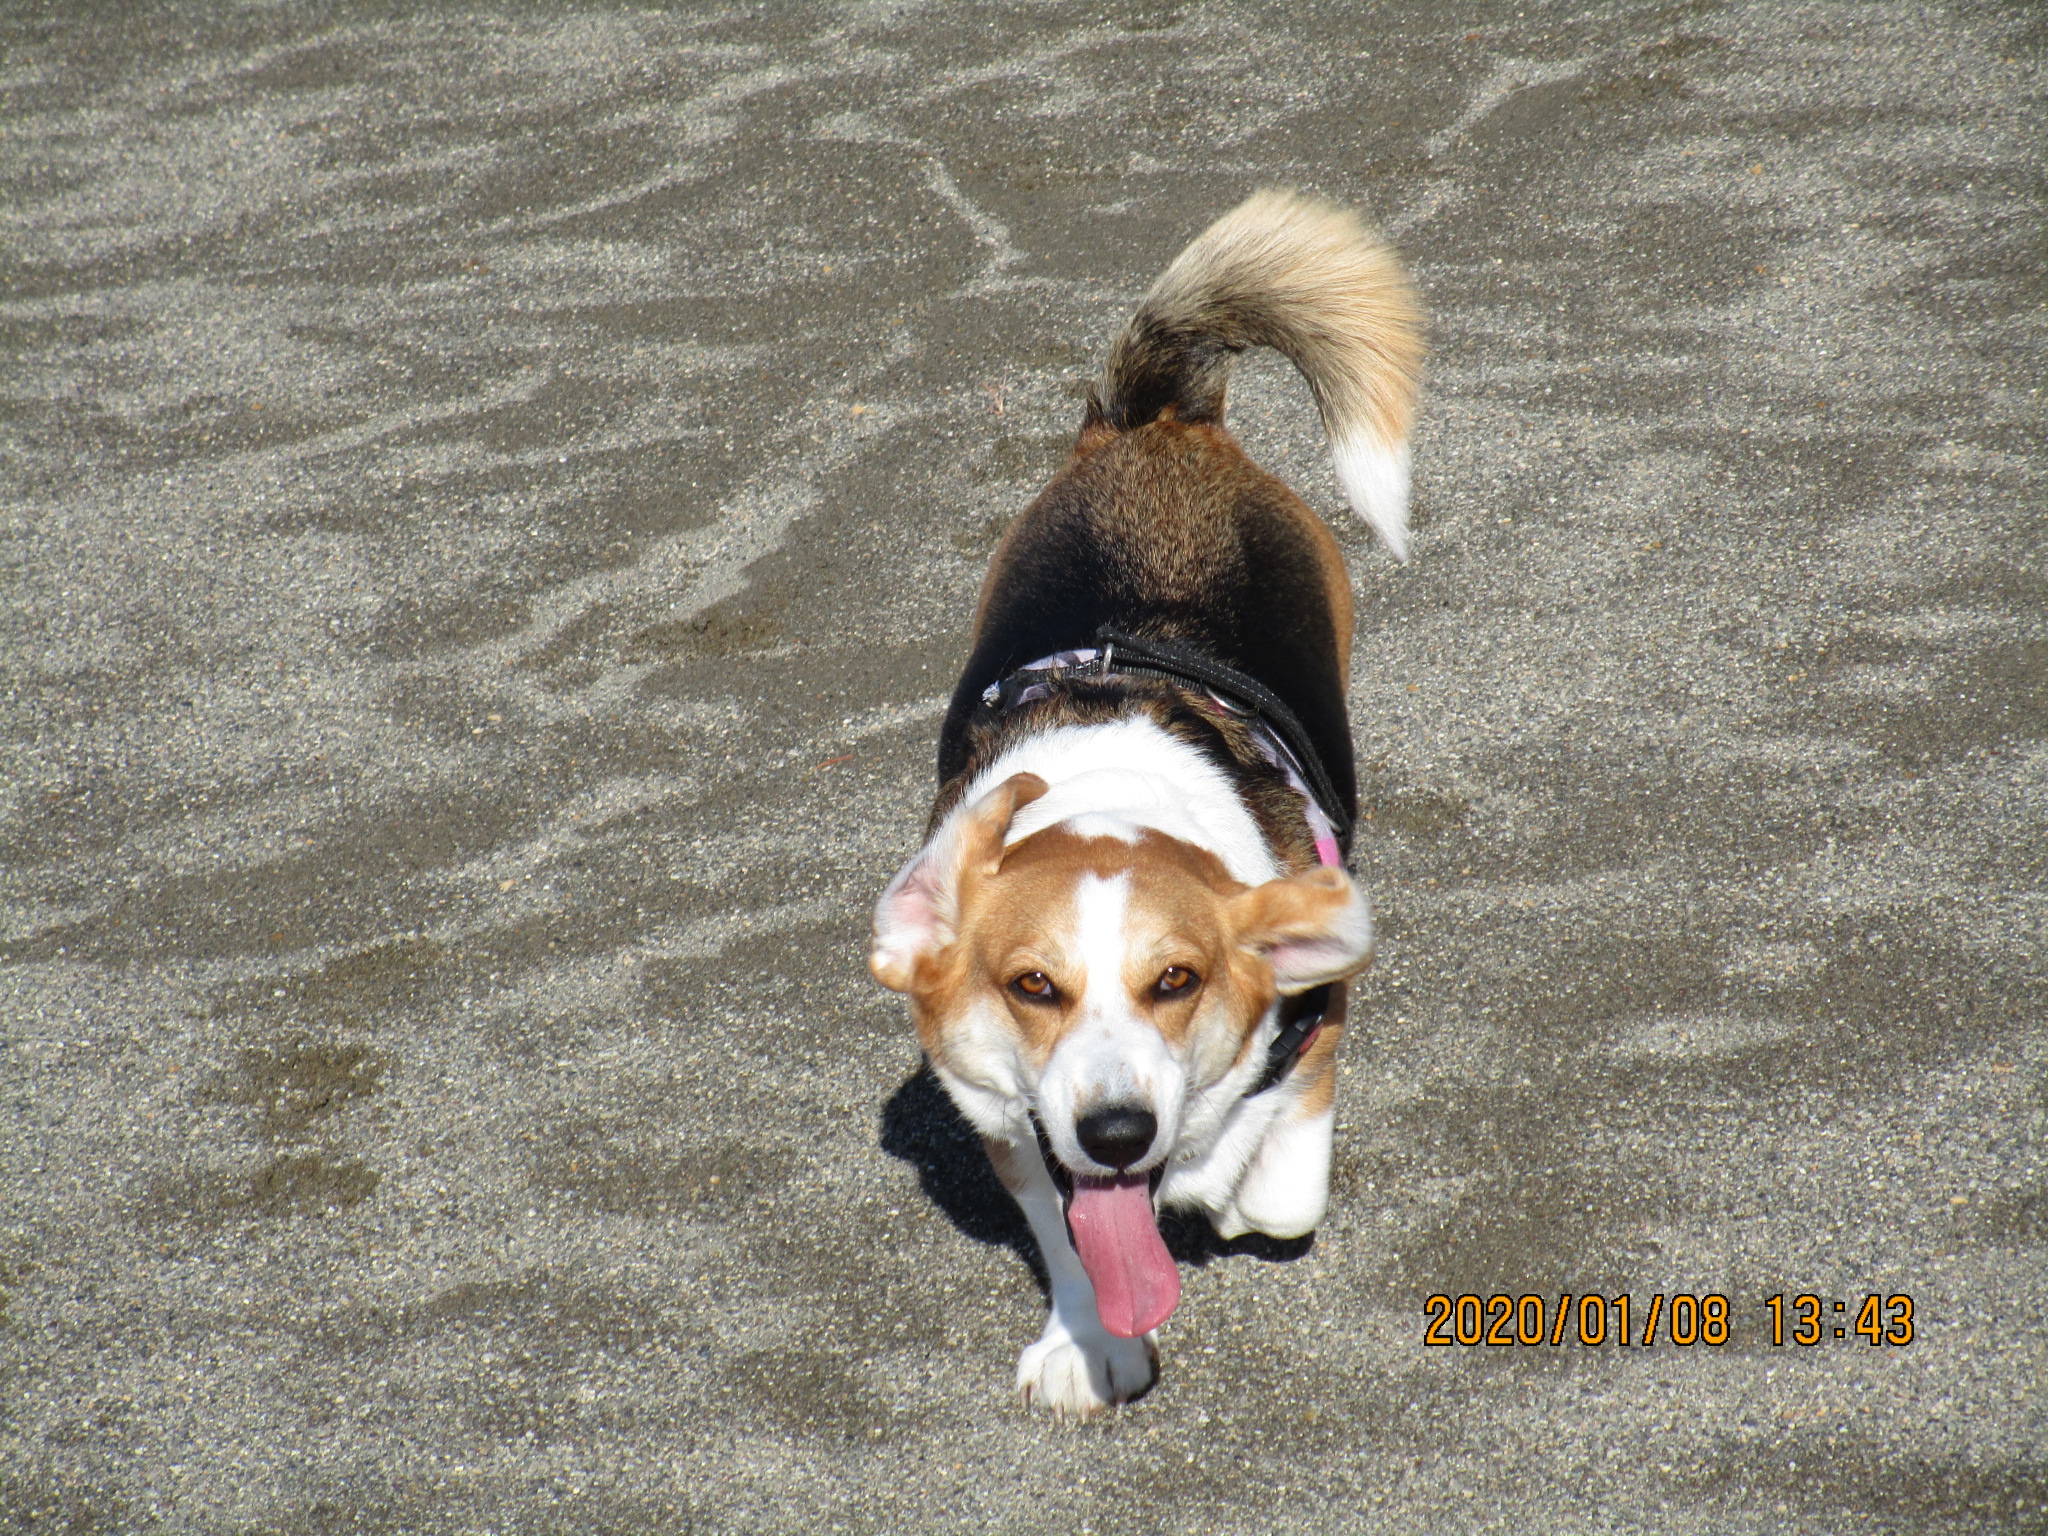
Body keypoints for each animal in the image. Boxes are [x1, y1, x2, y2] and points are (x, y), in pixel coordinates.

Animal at [870, 190, 1424, 1414]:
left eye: (1176, 980)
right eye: (1030, 985)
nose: (1119, 1131)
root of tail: (1158, 422)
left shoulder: (1316, 1026)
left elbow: (1278, 1188)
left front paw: (1219, 1180)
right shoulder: (1008, 1125)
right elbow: (1068, 1232)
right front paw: (1087, 1344)